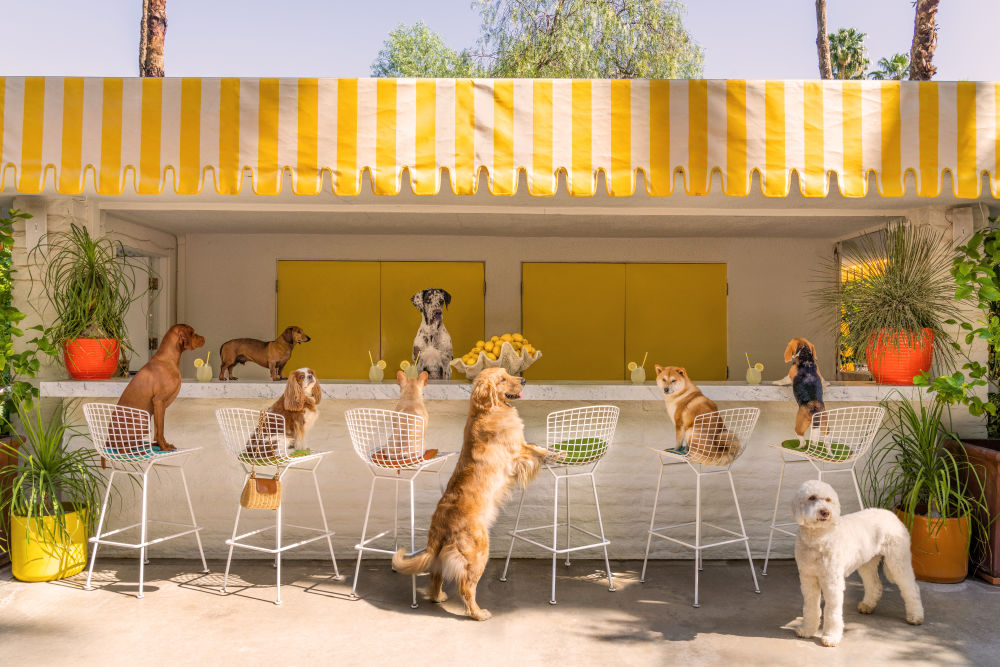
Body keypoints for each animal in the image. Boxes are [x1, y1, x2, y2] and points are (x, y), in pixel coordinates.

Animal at [116, 324, 204, 452]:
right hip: (142, 419)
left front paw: (161, 444)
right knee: (124, 449)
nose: (204, 338)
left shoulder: (159, 407)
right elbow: (160, 430)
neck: (168, 360)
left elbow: (158, 430)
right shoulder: (158, 401)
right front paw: (164, 447)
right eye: (192, 333)